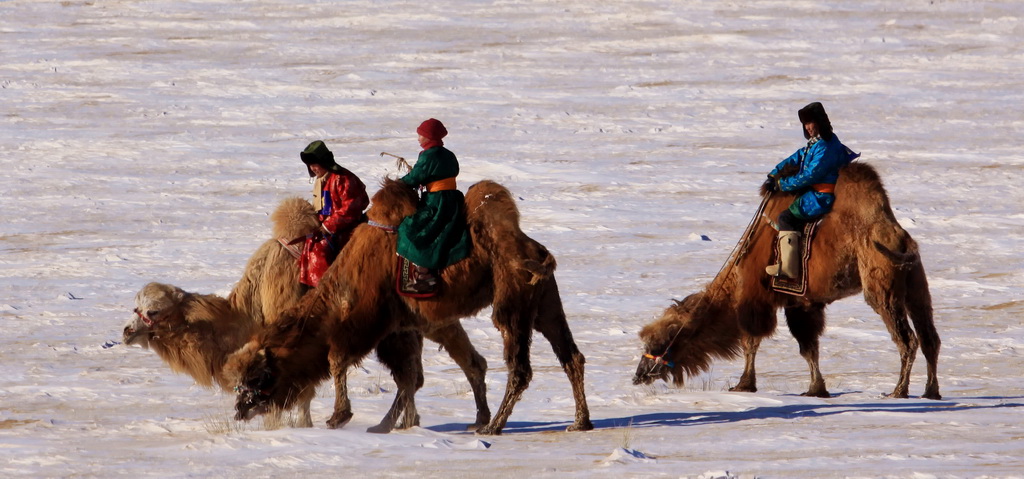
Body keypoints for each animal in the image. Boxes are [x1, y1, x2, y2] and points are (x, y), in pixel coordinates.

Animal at [123, 196, 491, 427]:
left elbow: (300, 393)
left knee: (444, 366)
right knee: (413, 376)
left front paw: (296, 426)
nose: (126, 332)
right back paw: (402, 423)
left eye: (153, 311)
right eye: (135, 306)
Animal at [226, 178, 593, 436]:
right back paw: (576, 422)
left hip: (511, 306)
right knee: (569, 356)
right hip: (544, 305)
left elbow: (340, 360)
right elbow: (408, 377)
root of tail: (535, 251)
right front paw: (388, 424)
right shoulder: (401, 329)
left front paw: (339, 417)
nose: (240, 409)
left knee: (519, 368)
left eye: (261, 376)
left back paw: (493, 427)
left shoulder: (368, 324)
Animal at [630, 162, 942, 403]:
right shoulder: (804, 304)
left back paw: (898, 391)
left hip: (882, 285)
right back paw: (931, 392)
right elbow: (809, 348)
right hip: (916, 285)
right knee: (930, 337)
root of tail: (900, 238)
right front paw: (816, 389)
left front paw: (744, 385)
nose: (638, 375)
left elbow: (751, 340)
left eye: (659, 342)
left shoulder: (757, 297)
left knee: (907, 339)